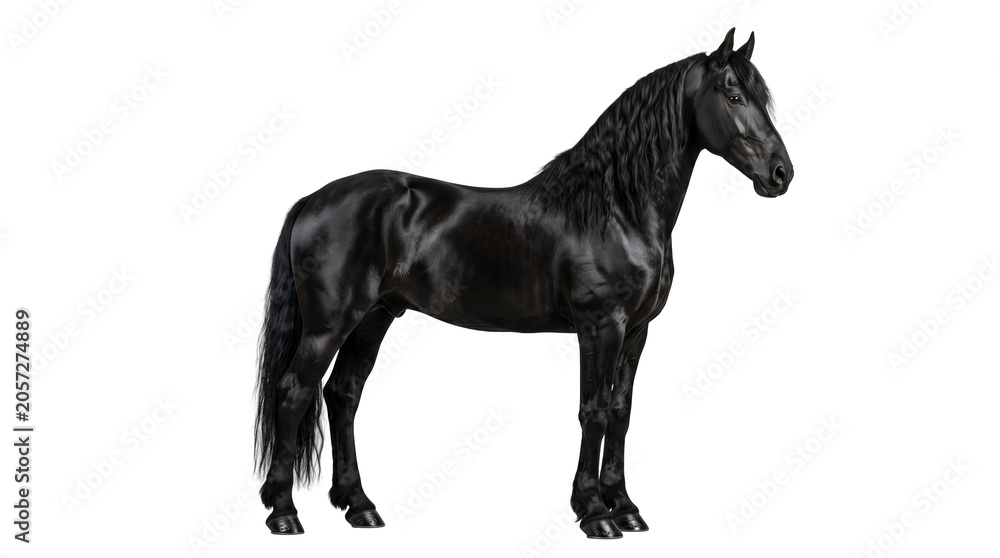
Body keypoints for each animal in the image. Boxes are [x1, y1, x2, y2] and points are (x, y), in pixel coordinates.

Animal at [254, 28, 793, 539]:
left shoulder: (637, 332)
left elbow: (621, 412)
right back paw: (283, 513)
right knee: (295, 391)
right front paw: (594, 512)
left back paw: (360, 506)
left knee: (343, 395)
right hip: (330, 324)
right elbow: (594, 410)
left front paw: (626, 508)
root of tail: (313, 199)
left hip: (373, 317)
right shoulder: (601, 327)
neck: (616, 208)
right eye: (734, 95)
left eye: (760, 97)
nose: (781, 174)